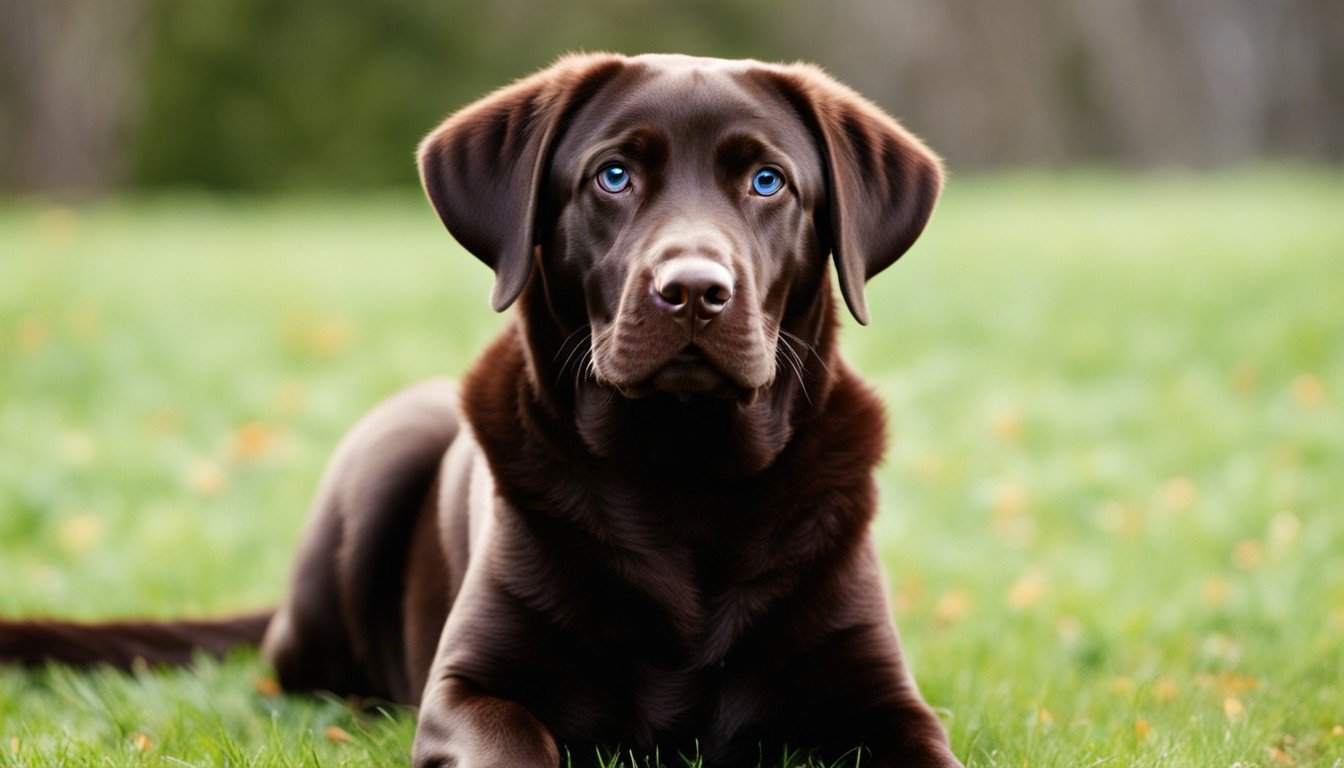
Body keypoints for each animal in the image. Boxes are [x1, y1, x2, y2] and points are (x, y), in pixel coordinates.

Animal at [2, 55, 967, 768]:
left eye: (769, 182)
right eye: (613, 175)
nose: (693, 291)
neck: (683, 476)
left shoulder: (887, 700)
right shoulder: (467, 690)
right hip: (383, 450)